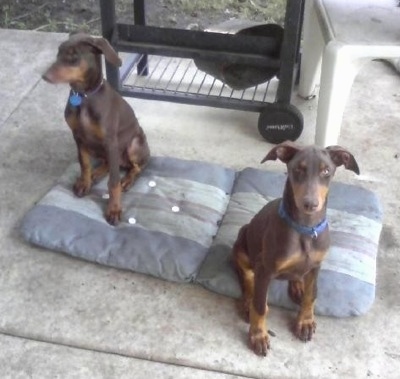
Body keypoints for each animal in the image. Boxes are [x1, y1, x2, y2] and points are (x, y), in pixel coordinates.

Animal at [41, 33, 150, 226]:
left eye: (73, 57)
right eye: (58, 54)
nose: (44, 76)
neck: (83, 96)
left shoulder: (111, 142)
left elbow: (113, 182)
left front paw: (114, 209)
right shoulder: (78, 137)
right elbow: (84, 164)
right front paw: (84, 183)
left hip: (133, 145)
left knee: (137, 167)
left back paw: (127, 180)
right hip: (96, 147)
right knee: (109, 163)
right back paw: (95, 174)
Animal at [231, 142, 360, 356]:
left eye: (326, 171)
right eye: (297, 170)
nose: (310, 204)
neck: (305, 228)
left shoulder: (316, 265)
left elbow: (312, 294)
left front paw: (305, 321)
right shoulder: (264, 268)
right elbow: (260, 305)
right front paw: (258, 335)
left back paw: (298, 285)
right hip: (242, 242)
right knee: (248, 277)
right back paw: (248, 301)